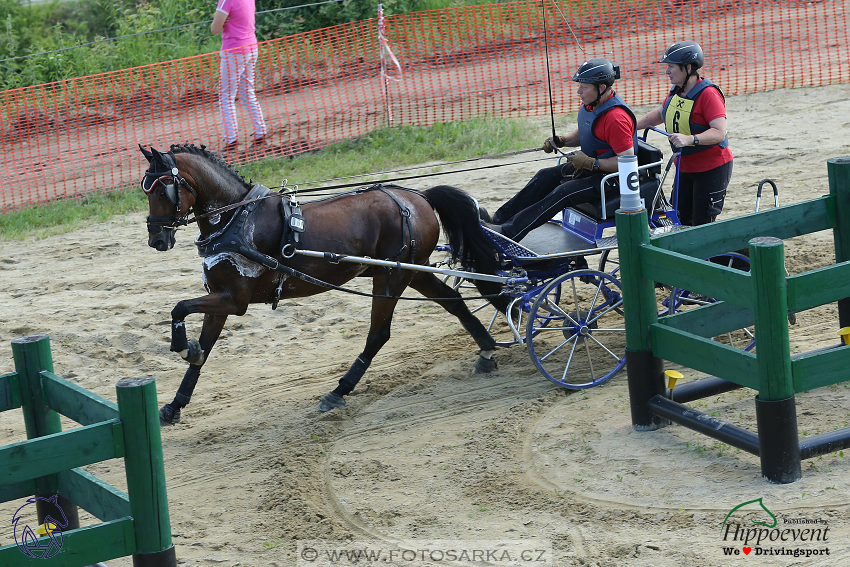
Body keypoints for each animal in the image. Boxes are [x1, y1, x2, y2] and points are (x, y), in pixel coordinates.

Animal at [140, 144, 504, 424]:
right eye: (145, 188)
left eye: (161, 189)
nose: (157, 240)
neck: (236, 220)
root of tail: (418, 197)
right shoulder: (220, 298)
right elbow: (202, 353)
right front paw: (175, 403)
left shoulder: (235, 300)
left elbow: (179, 309)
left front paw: (182, 345)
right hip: (413, 271)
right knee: (453, 302)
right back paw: (486, 350)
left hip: (391, 276)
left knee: (378, 334)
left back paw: (338, 391)